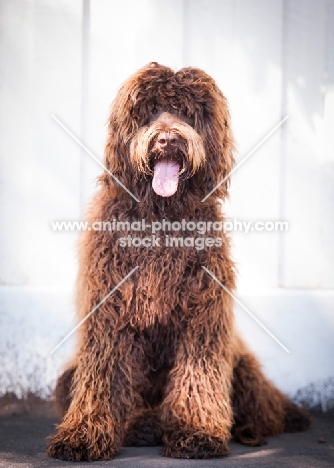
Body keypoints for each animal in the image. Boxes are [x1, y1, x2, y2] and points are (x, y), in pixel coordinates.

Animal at [47, 62, 310, 460]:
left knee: (265, 414)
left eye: (187, 113)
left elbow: (198, 374)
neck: (162, 218)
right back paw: (143, 425)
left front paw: (196, 432)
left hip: (244, 367)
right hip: (67, 377)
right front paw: (83, 435)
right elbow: (104, 377)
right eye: (148, 111)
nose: (168, 140)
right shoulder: (109, 313)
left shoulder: (203, 315)